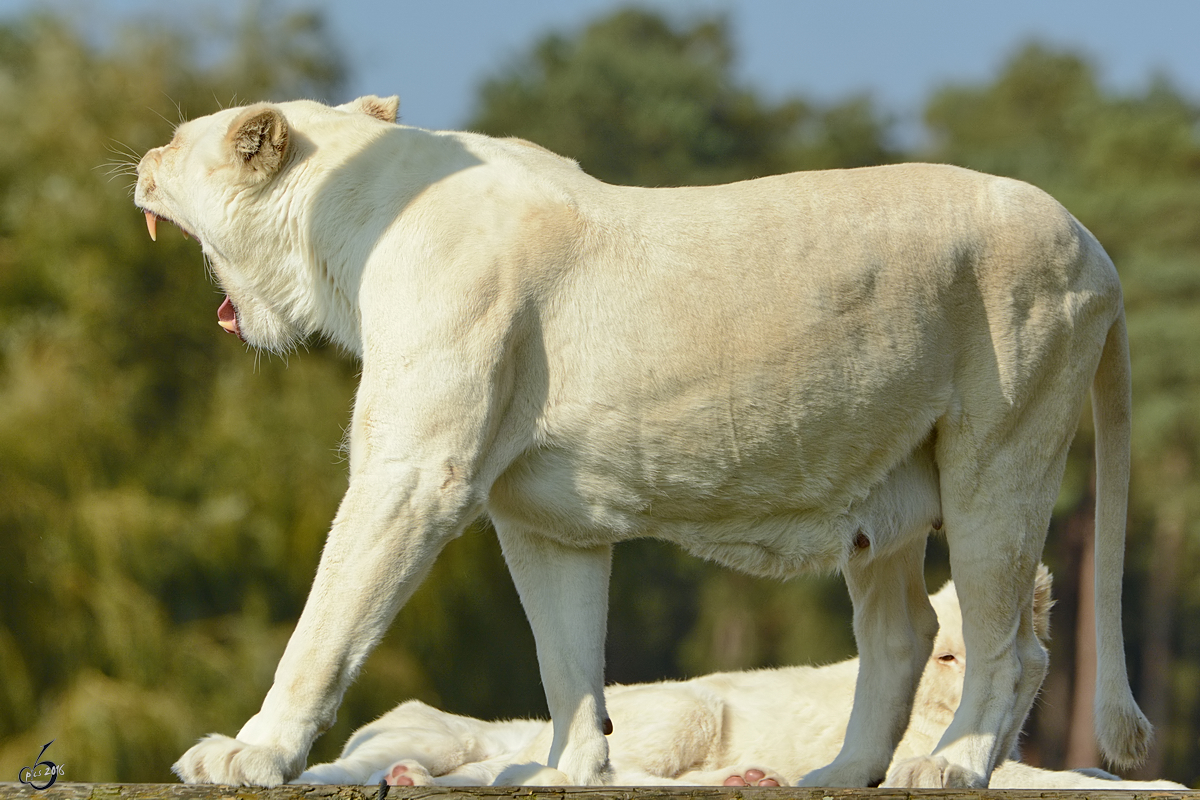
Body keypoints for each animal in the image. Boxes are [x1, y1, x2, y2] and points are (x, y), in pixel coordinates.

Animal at [136, 94, 1147, 786]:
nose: (140, 158)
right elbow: (566, 653)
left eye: (180, 141)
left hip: (1001, 455)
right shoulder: (542, 517)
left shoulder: (415, 475)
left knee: (1010, 643)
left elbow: (327, 624)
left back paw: (948, 767)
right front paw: (566, 772)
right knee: (905, 634)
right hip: (886, 488)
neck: (346, 230)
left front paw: (247, 754)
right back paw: (835, 776)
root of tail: (1099, 247)